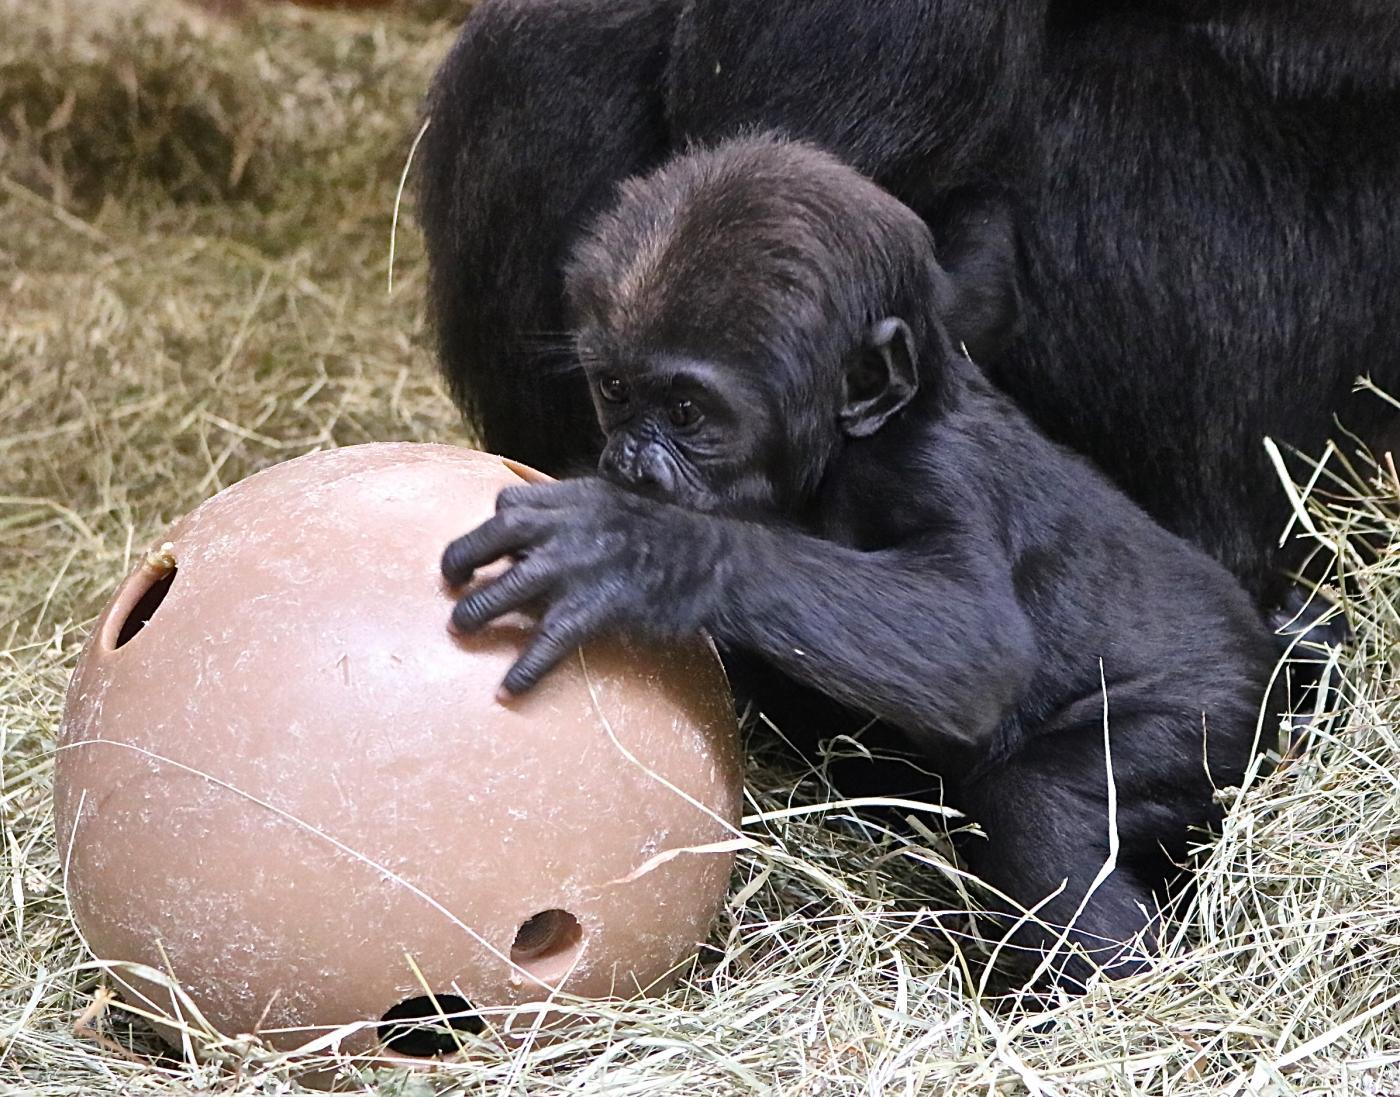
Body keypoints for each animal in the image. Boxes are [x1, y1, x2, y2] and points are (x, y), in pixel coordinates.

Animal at [439, 132, 1282, 990]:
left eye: (686, 411)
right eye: (613, 388)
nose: (631, 466)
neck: (837, 456)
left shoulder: (928, 465)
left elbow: (975, 642)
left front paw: (633, 548)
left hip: (1221, 708)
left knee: (1040, 798)